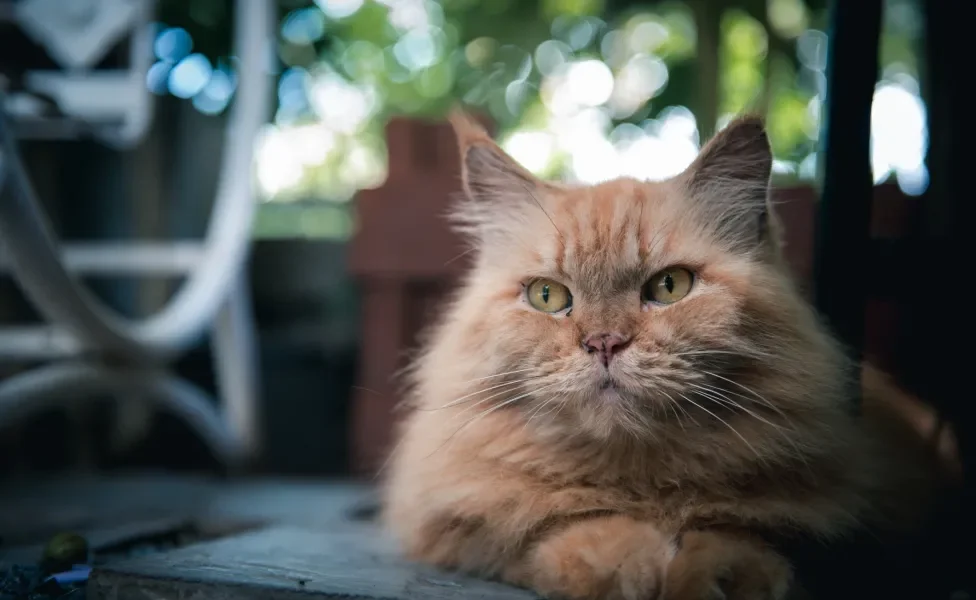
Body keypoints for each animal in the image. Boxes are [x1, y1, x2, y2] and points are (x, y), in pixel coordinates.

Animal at [378, 109, 956, 600]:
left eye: (670, 286)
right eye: (547, 296)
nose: (604, 342)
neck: (643, 484)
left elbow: (745, 542)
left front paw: (712, 575)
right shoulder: (456, 524)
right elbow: (553, 533)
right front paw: (630, 564)